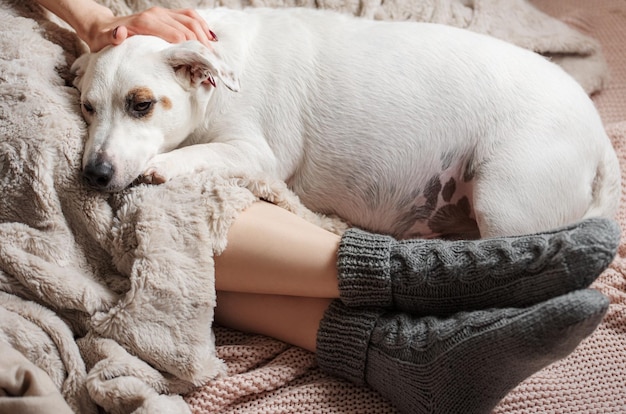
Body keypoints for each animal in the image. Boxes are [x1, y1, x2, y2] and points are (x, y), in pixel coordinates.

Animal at [69, 6, 620, 238]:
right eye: (88, 107)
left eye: (142, 104)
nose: (93, 174)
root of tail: (600, 141)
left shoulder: (257, 152)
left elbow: (197, 152)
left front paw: (165, 166)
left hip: (503, 202)